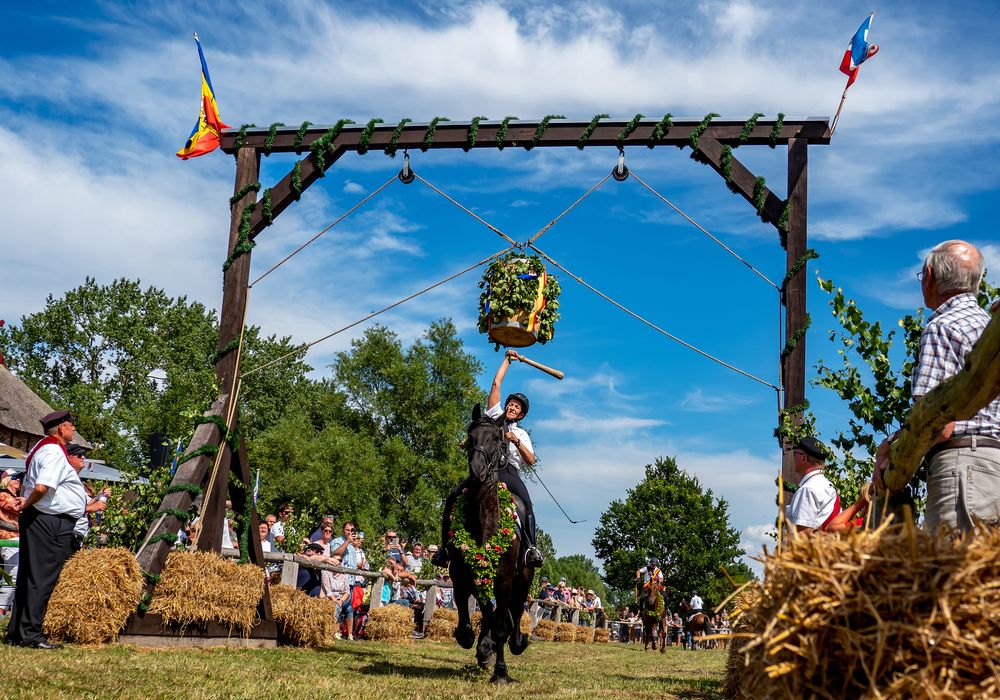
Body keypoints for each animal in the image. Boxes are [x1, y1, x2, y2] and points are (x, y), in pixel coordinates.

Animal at [450, 404, 536, 684]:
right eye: (470, 435)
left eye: (498, 438)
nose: (477, 470)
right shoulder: (463, 573)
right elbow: (479, 612)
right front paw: (475, 641)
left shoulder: (505, 579)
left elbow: (500, 624)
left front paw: (500, 672)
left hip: (525, 576)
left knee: (517, 610)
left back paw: (517, 642)